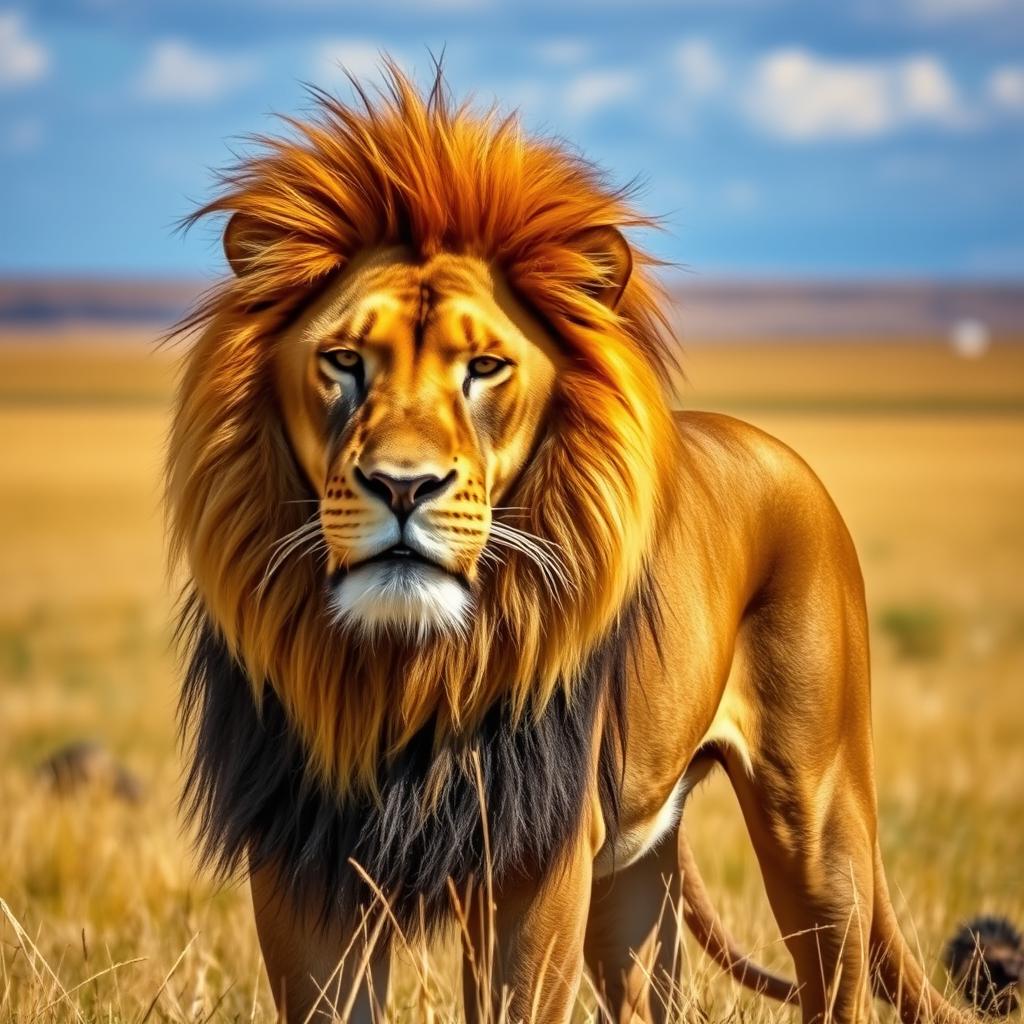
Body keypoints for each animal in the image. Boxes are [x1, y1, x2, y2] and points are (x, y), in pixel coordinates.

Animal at [167, 67, 978, 1024]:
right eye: (345, 361)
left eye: (483, 368)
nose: (403, 486)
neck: (406, 670)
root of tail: (781, 454)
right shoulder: (302, 861)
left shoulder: (536, 867)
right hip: (637, 880)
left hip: (817, 819)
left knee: (837, 972)